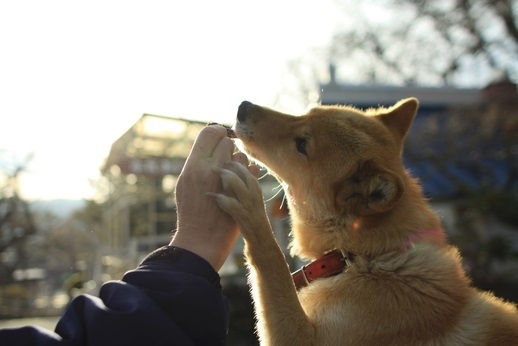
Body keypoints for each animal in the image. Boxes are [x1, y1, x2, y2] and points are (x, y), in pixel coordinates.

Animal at [212, 98, 518, 344]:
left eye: (301, 144)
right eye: (307, 112)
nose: (242, 107)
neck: (362, 257)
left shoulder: (303, 338)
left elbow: (270, 257)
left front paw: (249, 202)